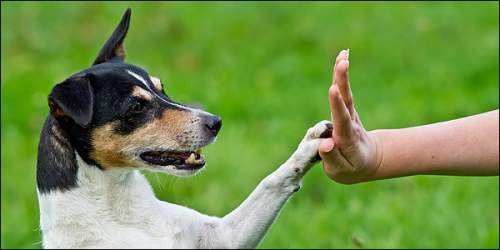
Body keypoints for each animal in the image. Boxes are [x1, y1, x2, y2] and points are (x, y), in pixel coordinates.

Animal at [36, 8, 332, 249]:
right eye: (136, 106)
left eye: (162, 88)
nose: (215, 122)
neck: (119, 209)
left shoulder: (224, 237)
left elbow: (270, 182)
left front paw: (309, 146)